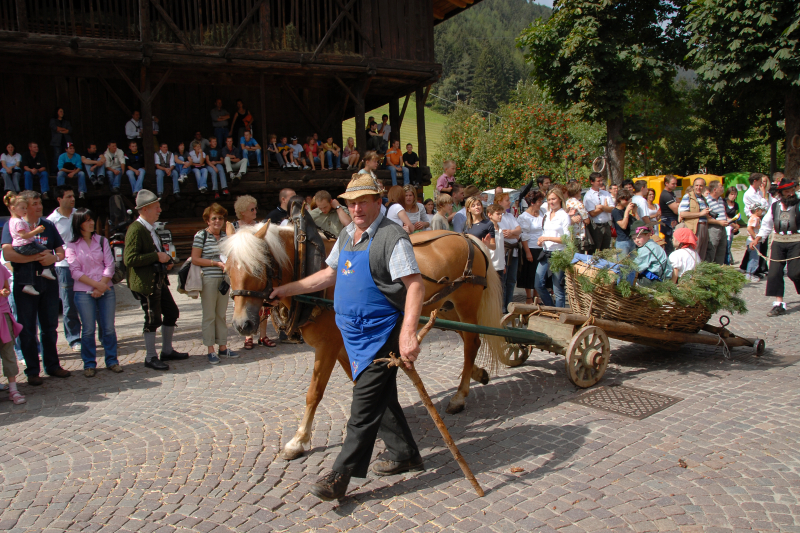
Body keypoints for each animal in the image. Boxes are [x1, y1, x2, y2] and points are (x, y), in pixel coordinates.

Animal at [222, 197, 504, 460]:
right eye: (226, 269)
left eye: (259, 267)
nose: (242, 324)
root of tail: (465, 236)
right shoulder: (343, 346)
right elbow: (357, 380)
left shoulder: (327, 346)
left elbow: (314, 392)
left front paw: (298, 440)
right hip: (445, 309)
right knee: (470, 339)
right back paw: (477, 374)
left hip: (465, 305)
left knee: (471, 343)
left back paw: (459, 396)